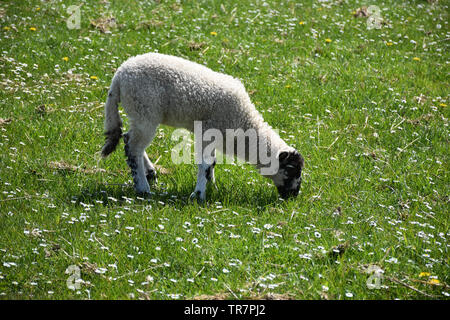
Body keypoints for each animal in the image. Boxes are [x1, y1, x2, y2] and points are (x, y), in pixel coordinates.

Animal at [99, 53, 302, 201]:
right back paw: (143, 188)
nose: (294, 196)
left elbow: (211, 162)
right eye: (291, 170)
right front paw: (199, 195)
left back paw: (150, 174)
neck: (243, 124)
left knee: (131, 140)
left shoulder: (211, 134)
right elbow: (204, 163)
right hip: (144, 109)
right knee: (133, 148)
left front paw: (212, 186)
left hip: (140, 114)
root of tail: (119, 76)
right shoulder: (208, 131)